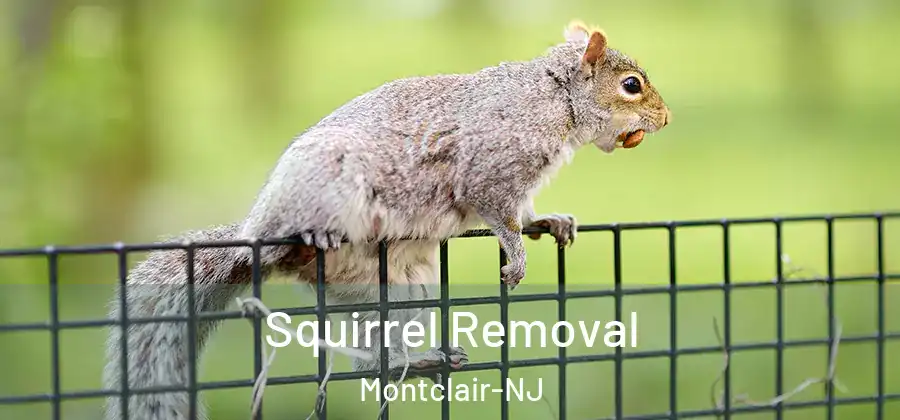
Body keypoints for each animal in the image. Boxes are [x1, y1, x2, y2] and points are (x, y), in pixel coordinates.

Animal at [102, 20, 670, 420]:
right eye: (631, 85)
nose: (665, 120)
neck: (554, 98)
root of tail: (253, 238)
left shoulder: (520, 183)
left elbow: (525, 212)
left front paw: (549, 222)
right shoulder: (489, 168)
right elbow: (498, 214)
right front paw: (516, 256)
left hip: (399, 289)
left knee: (372, 360)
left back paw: (416, 361)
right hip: (325, 187)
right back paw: (311, 237)